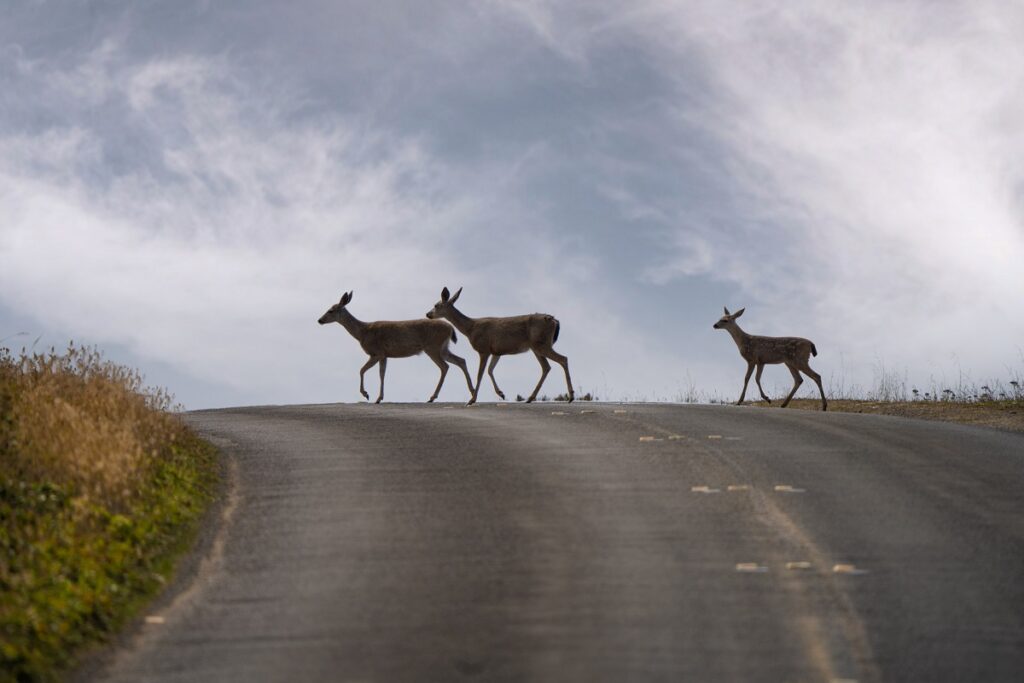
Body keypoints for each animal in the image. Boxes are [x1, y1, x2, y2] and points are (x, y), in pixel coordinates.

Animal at [317, 290, 473, 403]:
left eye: (331, 310)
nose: (319, 320)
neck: (362, 332)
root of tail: (451, 328)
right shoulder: (385, 355)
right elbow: (382, 374)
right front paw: (379, 398)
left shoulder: (376, 352)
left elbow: (361, 370)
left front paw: (367, 394)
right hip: (443, 348)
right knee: (461, 360)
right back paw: (471, 394)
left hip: (433, 347)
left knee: (445, 366)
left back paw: (432, 397)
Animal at [421, 286, 573, 405]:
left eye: (436, 305)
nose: (428, 314)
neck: (470, 328)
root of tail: (554, 320)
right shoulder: (496, 352)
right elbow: (490, 370)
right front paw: (501, 393)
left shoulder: (483, 349)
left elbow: (480, 374)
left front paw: (472, 400)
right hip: (537, 347)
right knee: (546, 367)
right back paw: (530, 398)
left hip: (541, 344)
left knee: (563, 359)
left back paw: (570, 396)